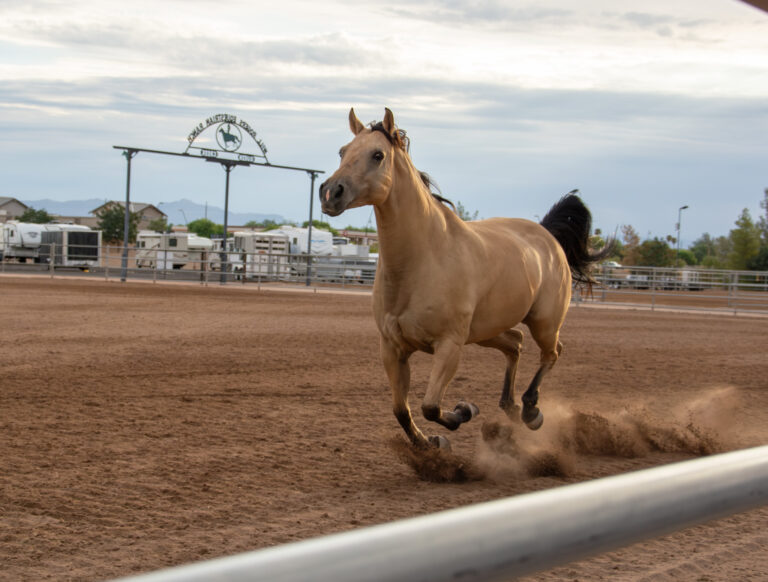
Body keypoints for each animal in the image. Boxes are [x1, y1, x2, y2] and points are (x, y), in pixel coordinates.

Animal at [320, 107, 608, 450]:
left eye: (378, 155)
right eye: (342, 152)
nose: (330, 193)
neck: (424, 260)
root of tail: (547, 236)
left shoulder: (449, 346)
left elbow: (431, 406)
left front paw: (464, 411)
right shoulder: (392, 348)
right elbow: (401, 410)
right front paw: (430, 443)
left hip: (544, 323)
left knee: (552, 352)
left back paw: (530, 411)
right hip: (486, 330)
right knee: (516, 343)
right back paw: (510, 407)